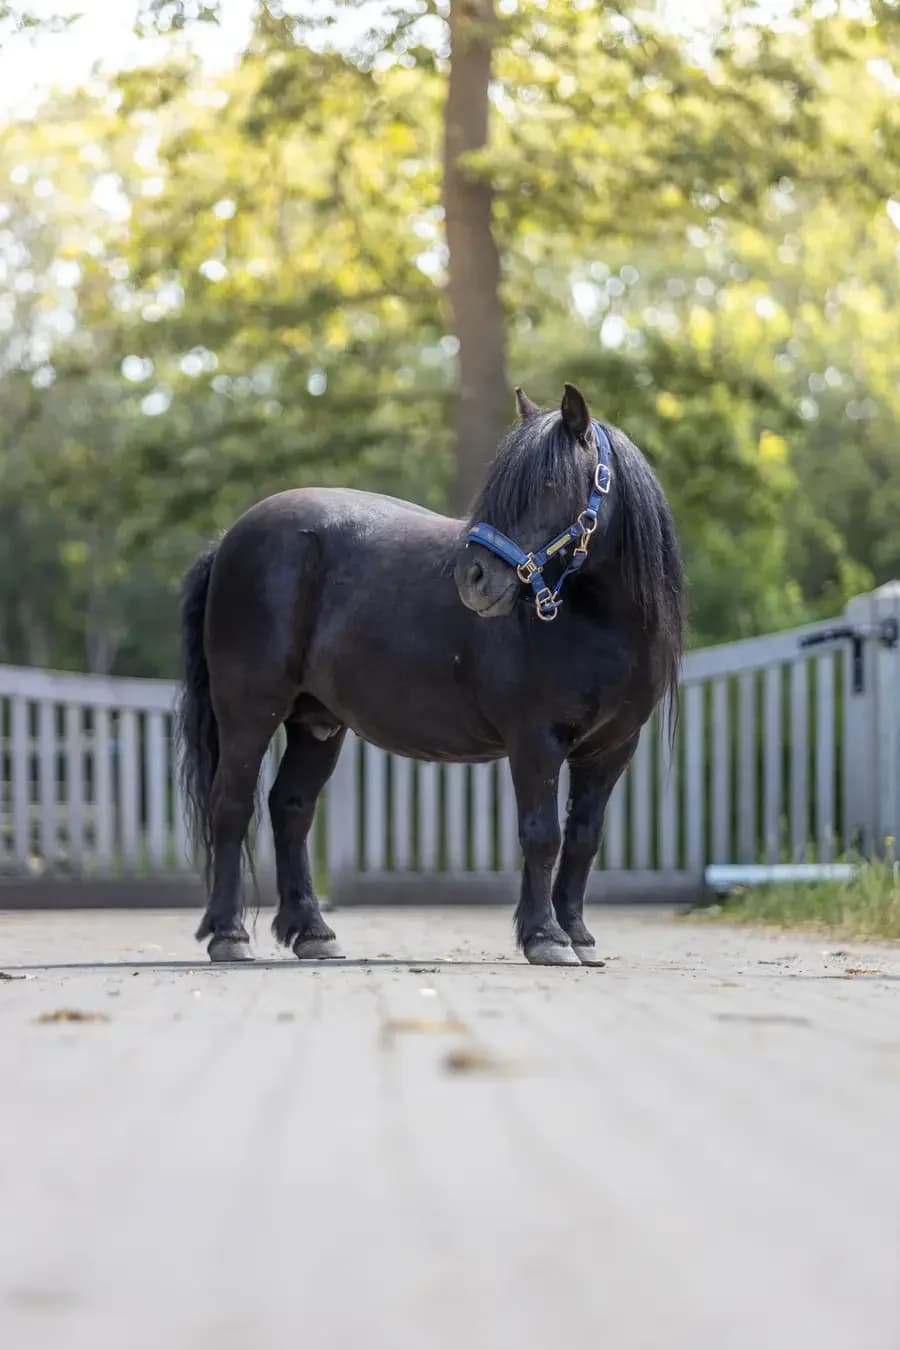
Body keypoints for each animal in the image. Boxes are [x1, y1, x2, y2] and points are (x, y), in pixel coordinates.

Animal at [176, 382, 685, 966]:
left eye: (551, 485)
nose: (474, 577)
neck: (596, 623)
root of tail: (229, 539)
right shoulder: (536, 740)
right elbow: (541, 835)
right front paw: (546, 937)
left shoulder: (611, 750)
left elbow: (582, 837)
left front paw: (578, 936)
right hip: (249, 713)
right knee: (231, 807)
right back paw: (229, 935)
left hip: (316, 724)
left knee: (291, 809)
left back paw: (313, 933)